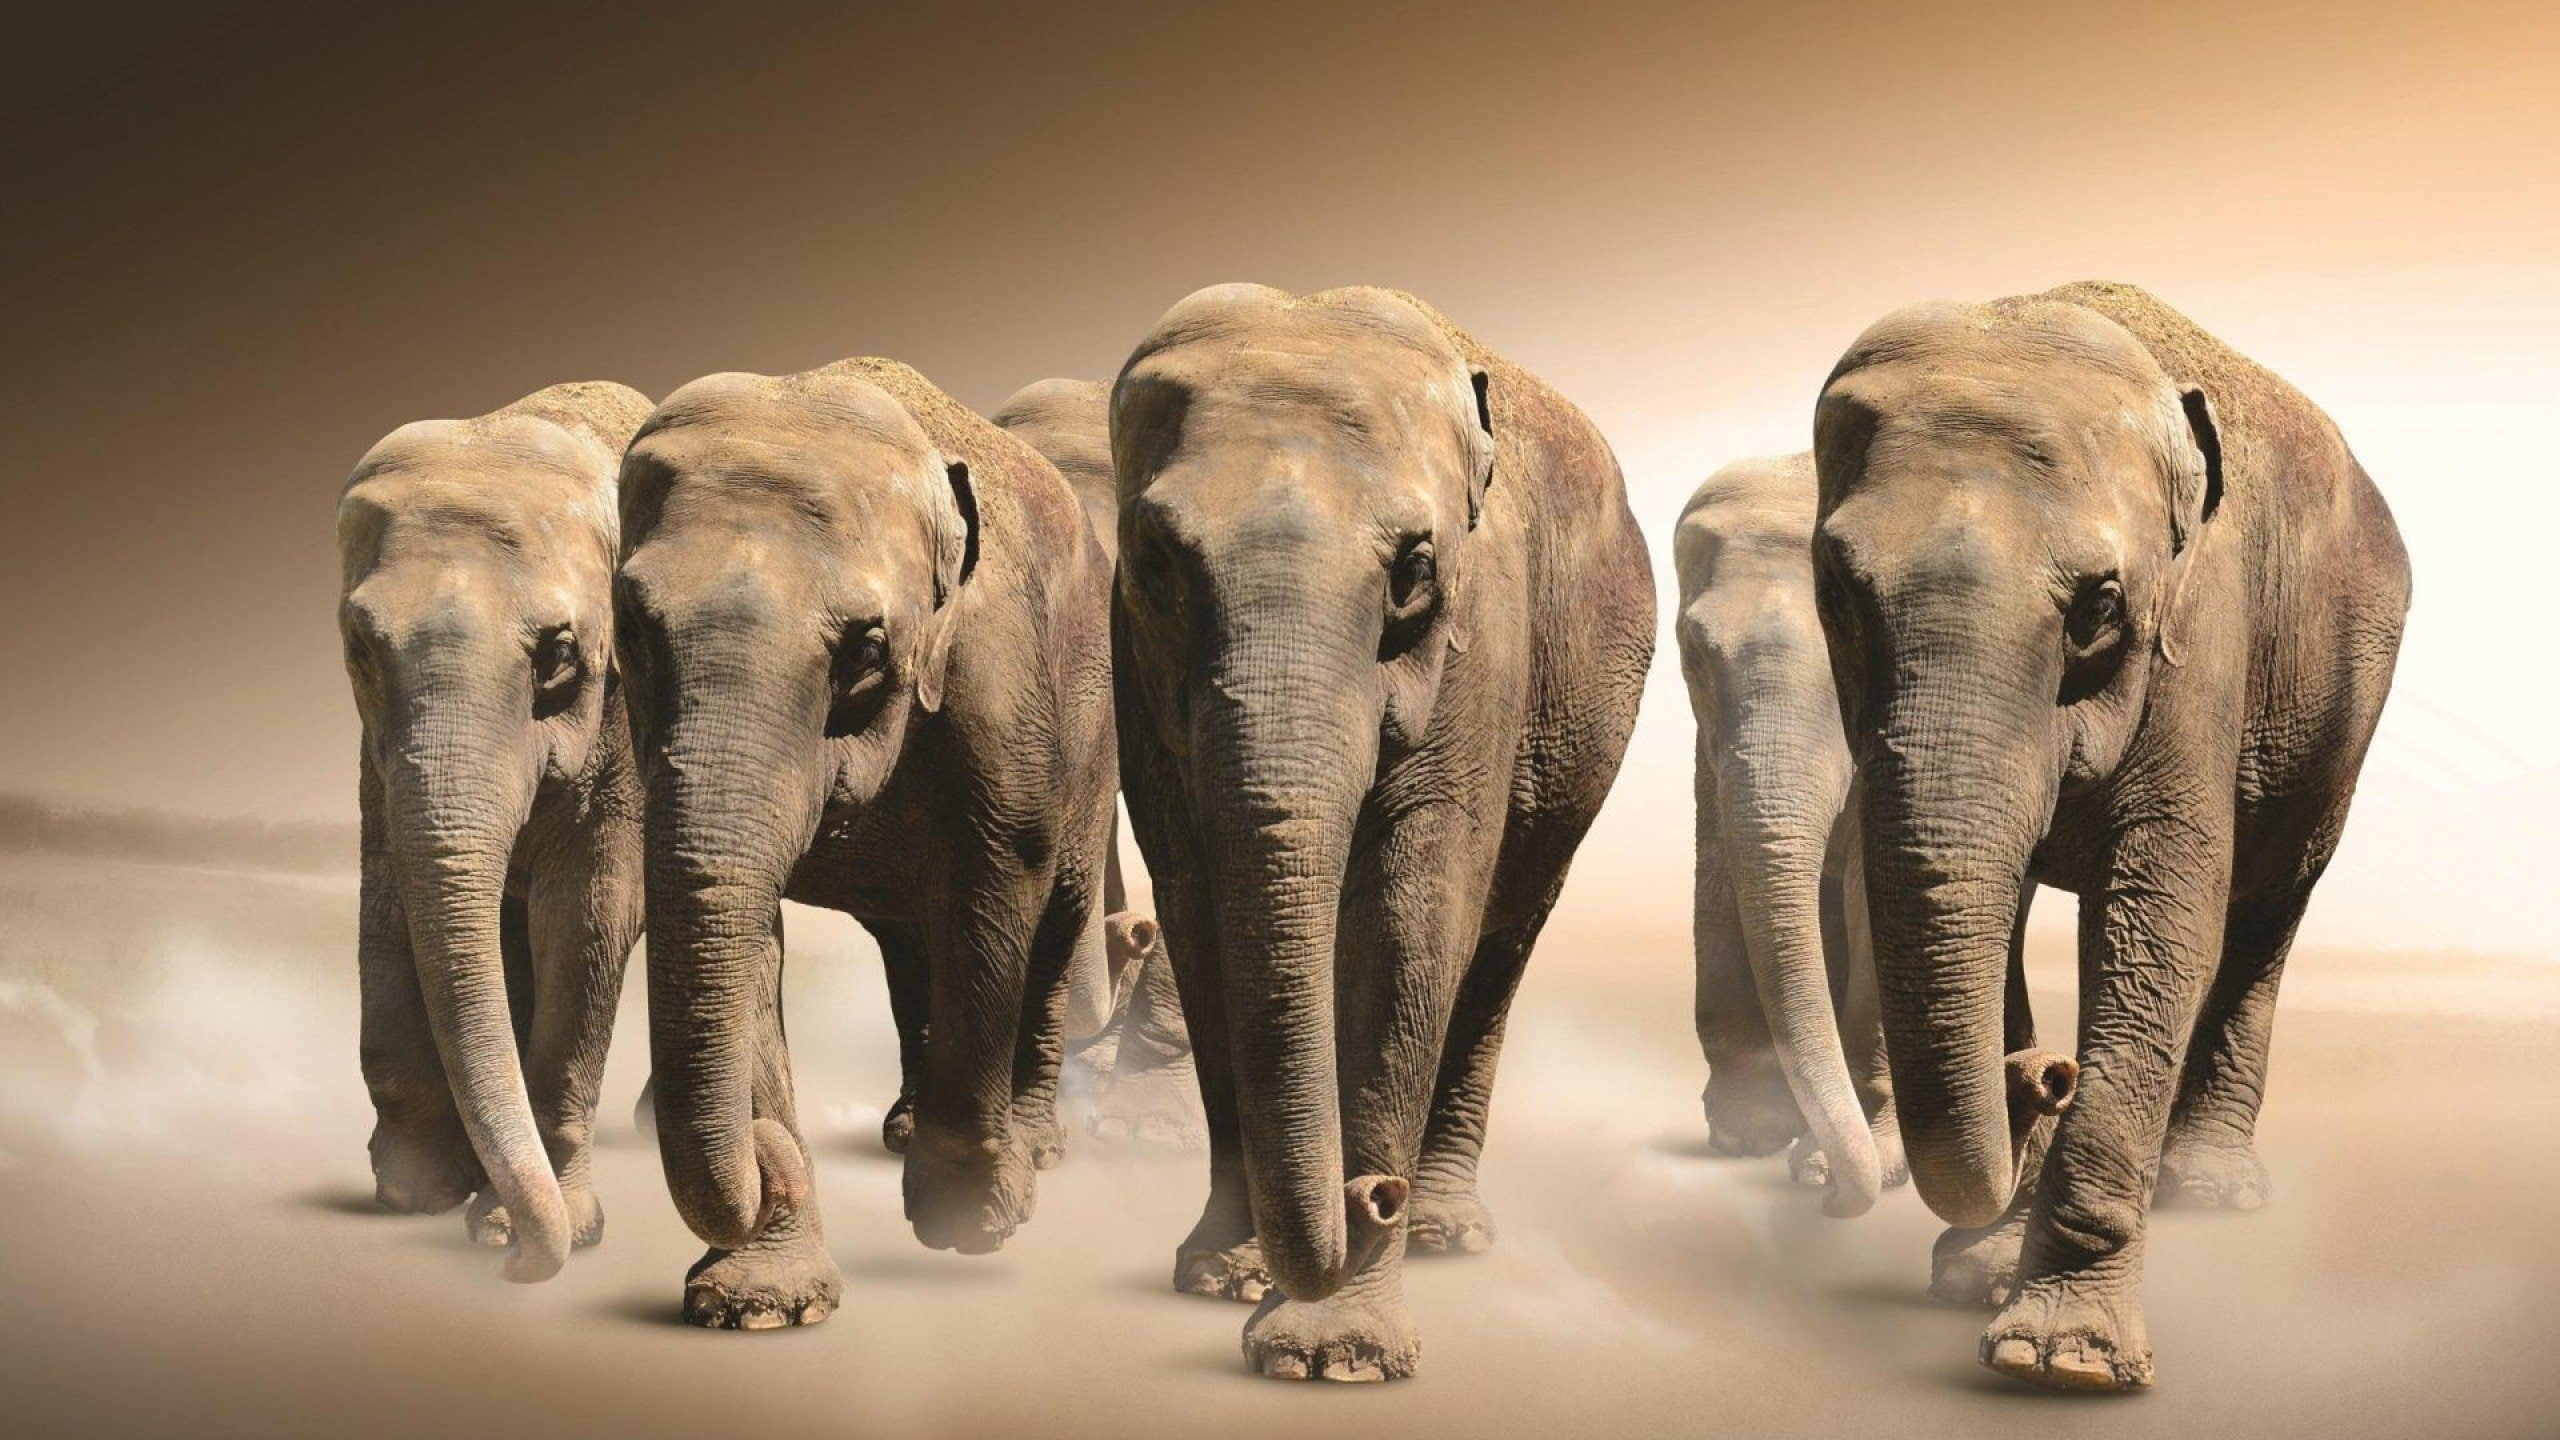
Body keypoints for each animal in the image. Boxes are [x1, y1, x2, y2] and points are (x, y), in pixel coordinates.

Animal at [333, 380, 655, 1282]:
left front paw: (534, 1230)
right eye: (360, 648)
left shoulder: (625, 722)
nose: (512, 1268)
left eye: (558, 654)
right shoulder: (375, 752)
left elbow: (589, 915)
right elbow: (388, 898)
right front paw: (415, 1193)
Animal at [613, 357, 1117, 1329]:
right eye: (632, 627)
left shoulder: (997, 672)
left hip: (1096, 721)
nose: (767, 1154)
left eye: (869, 649)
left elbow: (998, 878)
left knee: (1057, 915)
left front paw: (972, 1221)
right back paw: (903, 1130)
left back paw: (1036, 1148)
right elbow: (744, 925)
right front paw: (758, 1304)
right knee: (908, 944)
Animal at [1111, 284, 1655, 1381]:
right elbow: (1193, 909)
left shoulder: (1483, 637)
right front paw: (1225, 1279)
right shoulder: (1127, 663)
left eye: (1414, 568)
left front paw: (1334, 1357)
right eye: (1156, 564)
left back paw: (1446, 1232)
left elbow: (1413, 919)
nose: (1372, 1198)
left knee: (1499, 945)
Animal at [1811, 281, 2410, 1390]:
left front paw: (2060, 1360)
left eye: (2098, 605)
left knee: (2266, 910)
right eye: (1835, 590)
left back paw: (2210, 1190)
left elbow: (2161, 919)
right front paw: (1978, 1277)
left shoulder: (2204, 632)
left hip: (2343, 711)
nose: (2047, 1073)